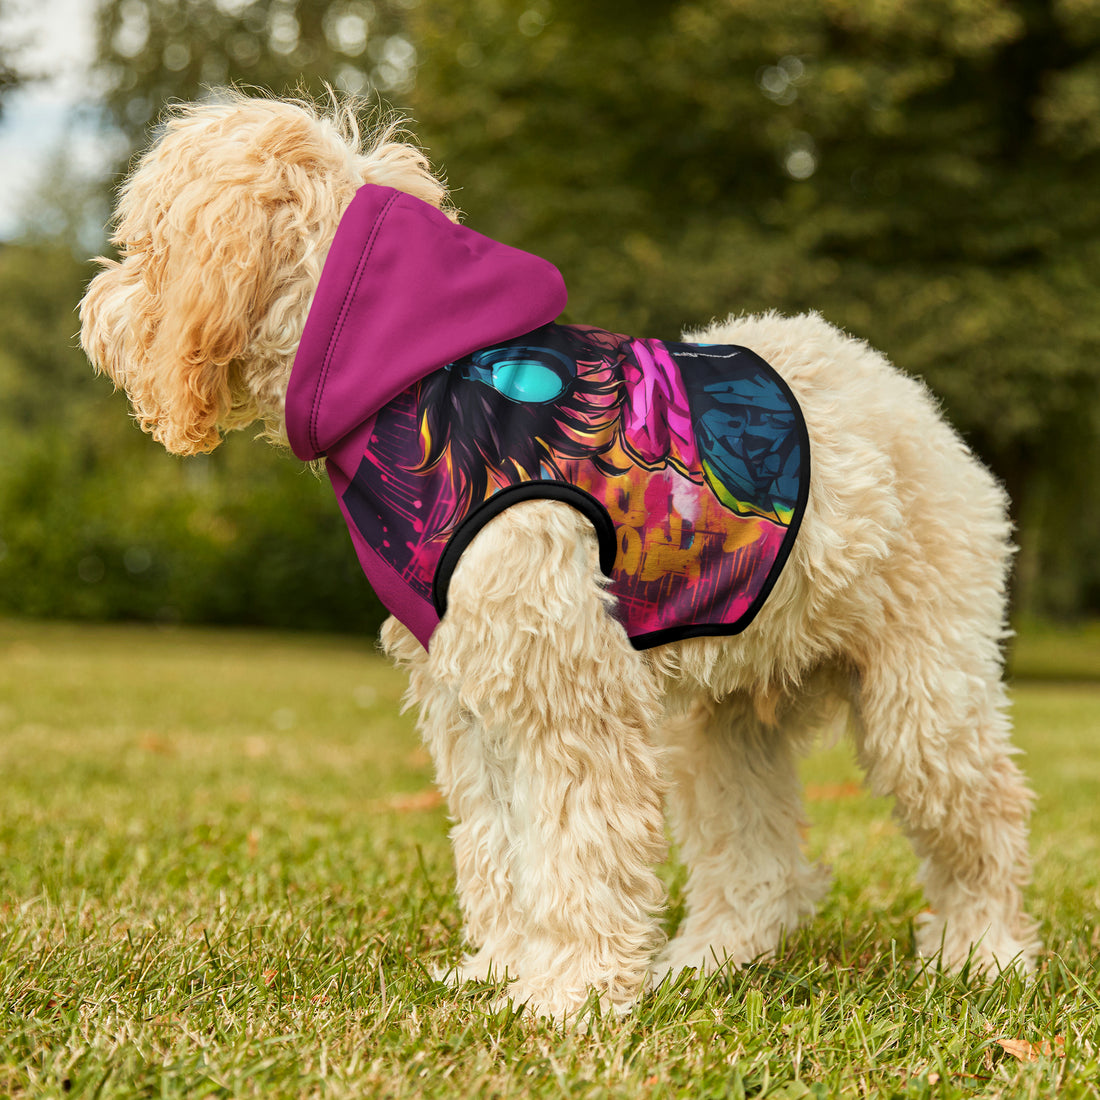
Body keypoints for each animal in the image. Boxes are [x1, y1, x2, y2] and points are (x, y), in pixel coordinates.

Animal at [81, 90, 1034, 1016]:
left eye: (143, 245)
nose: (93, 312)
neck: (414, 382)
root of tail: (907, 395)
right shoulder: (470, 696)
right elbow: (500, 847)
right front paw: (502, 971)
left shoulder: (567, 688)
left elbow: (576, 848)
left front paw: (567, 993)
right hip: (724, 721)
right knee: (759, 862)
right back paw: (710, 960)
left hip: (925, 696)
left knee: (985, 820)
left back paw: (985, 955)